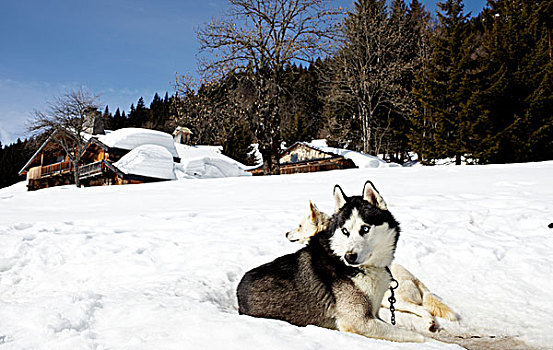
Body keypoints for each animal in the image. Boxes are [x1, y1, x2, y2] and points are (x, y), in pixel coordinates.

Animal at [284, 201, 458, 332]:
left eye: (299, 226)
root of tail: (414, 278)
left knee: (421, 309)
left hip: (393, 299)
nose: (285, 233)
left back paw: (430, 323)